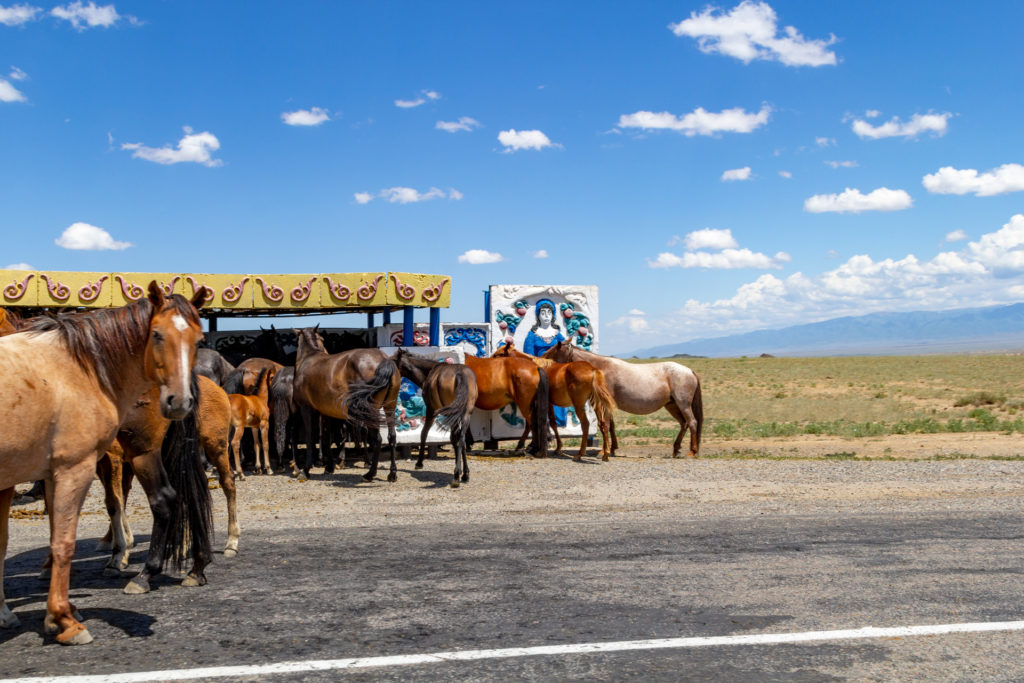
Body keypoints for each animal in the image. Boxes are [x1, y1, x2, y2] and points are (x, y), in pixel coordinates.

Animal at [0, 282, 205, 647]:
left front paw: (60, 617)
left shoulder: (73, 464)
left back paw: (145, 570)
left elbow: (62, 535)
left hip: (141, 449)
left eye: (200, 340)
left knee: (164, 499)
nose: (179, 400)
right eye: (156, 335)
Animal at [292, 327, 399, 483]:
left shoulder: (306, 409)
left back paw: (370, 473)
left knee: (377, 439)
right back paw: (392, 473)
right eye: (323, 339)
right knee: (391, 437)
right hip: (389, 407)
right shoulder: (325, 412)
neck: (309, 358)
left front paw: (305, 470)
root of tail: (383, 359)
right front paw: (329, 467)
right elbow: (326, 437)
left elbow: (310, 437)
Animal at [391, 352, 479, 485]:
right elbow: (458, 440)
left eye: (393, 360)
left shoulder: (431, 410)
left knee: (456, 438)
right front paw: (464, 473)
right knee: (462, 438)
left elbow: (424, 433)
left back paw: (456, 474)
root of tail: (461, 374)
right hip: (465, 414)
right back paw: (463, 474)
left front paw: (419, 463)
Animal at [540, 339, 700, 456]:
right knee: (684, 423)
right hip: (672, 405)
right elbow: (611, 426)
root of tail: (689, 371)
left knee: (692, 422)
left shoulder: (603, 404)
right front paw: (612, 448)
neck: (599, 369)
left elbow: (605, 425)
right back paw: (676, 449)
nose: (541, 361)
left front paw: (605, 450)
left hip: (683, 404)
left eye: (552, 351)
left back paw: (692, 451)